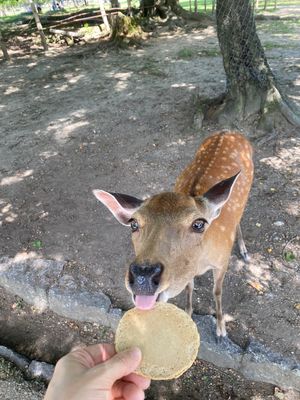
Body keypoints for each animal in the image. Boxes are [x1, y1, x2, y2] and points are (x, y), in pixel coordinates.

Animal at [94, 131, 253, 338]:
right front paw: (188, 314)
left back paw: (243, 250)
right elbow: (190, 286)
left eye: (199, 224)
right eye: (133, 224)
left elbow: (217, 291)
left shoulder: (223, 261)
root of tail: (229, 131)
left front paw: (220, 330)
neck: (201, 263)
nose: (143, 278)